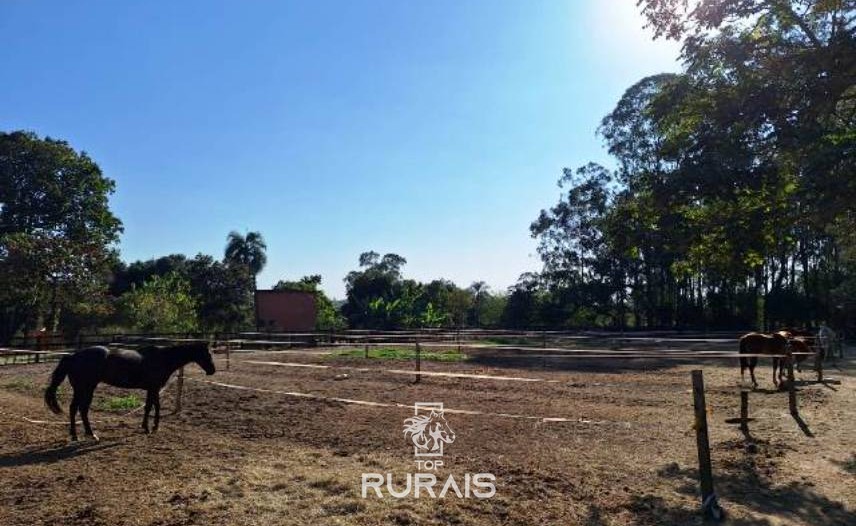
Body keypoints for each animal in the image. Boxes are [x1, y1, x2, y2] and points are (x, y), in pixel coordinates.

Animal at [45, 342, 216, 442]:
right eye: (207, 354)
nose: (212, 371)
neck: (162, 358)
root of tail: (73, 356)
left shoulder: (152, 389)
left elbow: (151, 406)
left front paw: (148, 427)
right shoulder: (154, 388)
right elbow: (153, 407)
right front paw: (151, 428)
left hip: (83, 389)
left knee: (78, 409)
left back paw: (82, 434)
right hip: (85, 388)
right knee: (79, 409)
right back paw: (85, 435)